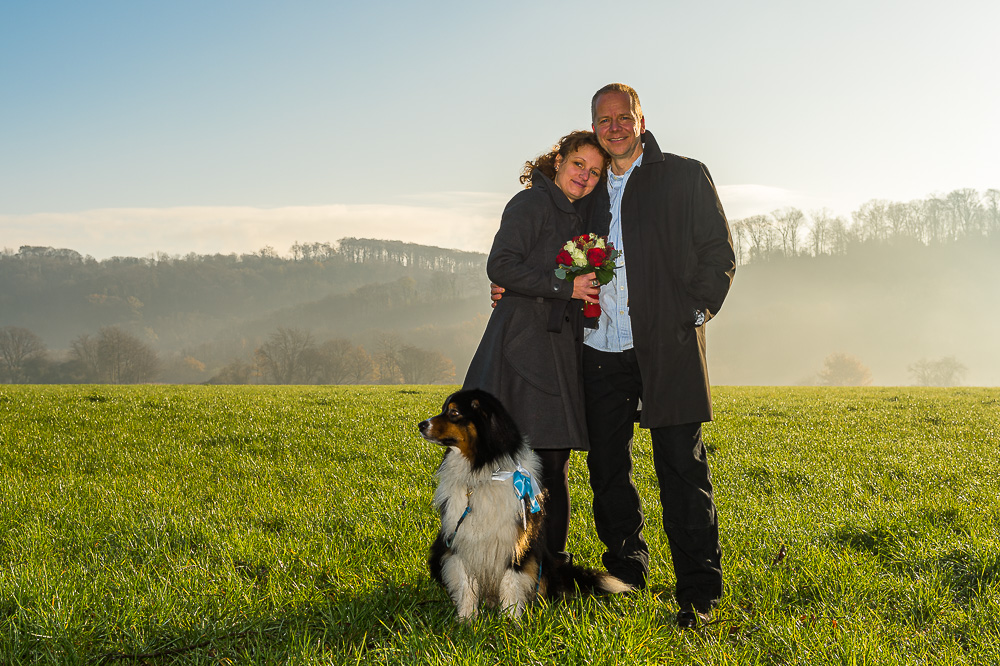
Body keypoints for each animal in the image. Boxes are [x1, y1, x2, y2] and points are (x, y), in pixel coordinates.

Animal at [418, 386, 628, 620]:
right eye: (445, 409)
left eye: (453, 413)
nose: (421, 425)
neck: (485, 470)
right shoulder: (460, 540)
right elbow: (466, 584)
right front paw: (467, 618)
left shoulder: (518, 539)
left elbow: (511, 581)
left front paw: (510, 620)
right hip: (439, 550)